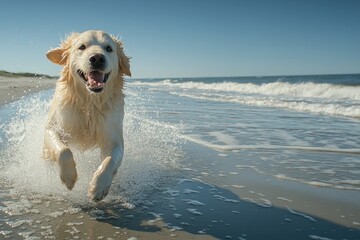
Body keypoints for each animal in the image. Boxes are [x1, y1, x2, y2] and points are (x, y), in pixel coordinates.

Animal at [43, 30, 131, 202]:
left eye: (109, 48)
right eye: (82, 47)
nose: (97, 58)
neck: (90, 103)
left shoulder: (114, 138)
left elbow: (110, 159)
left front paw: (98, 187)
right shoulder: (53, 126)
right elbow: (63, 150)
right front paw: (69, 177)